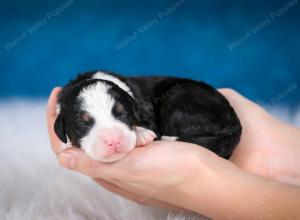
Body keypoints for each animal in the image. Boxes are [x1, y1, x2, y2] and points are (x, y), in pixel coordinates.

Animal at [54, 70, 241, 162]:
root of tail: (234, 125)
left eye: (123, 114)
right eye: (83, 123)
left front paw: (142, 134)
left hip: (178, 100)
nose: (114, 141)